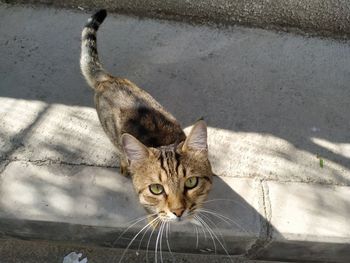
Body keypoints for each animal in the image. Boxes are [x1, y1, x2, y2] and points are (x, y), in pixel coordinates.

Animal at [80, 10, 213, 225]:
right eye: (156, 189)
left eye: (191, 182)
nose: (179, 211)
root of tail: (109, 79)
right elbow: (151, 210)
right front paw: (155, 220)